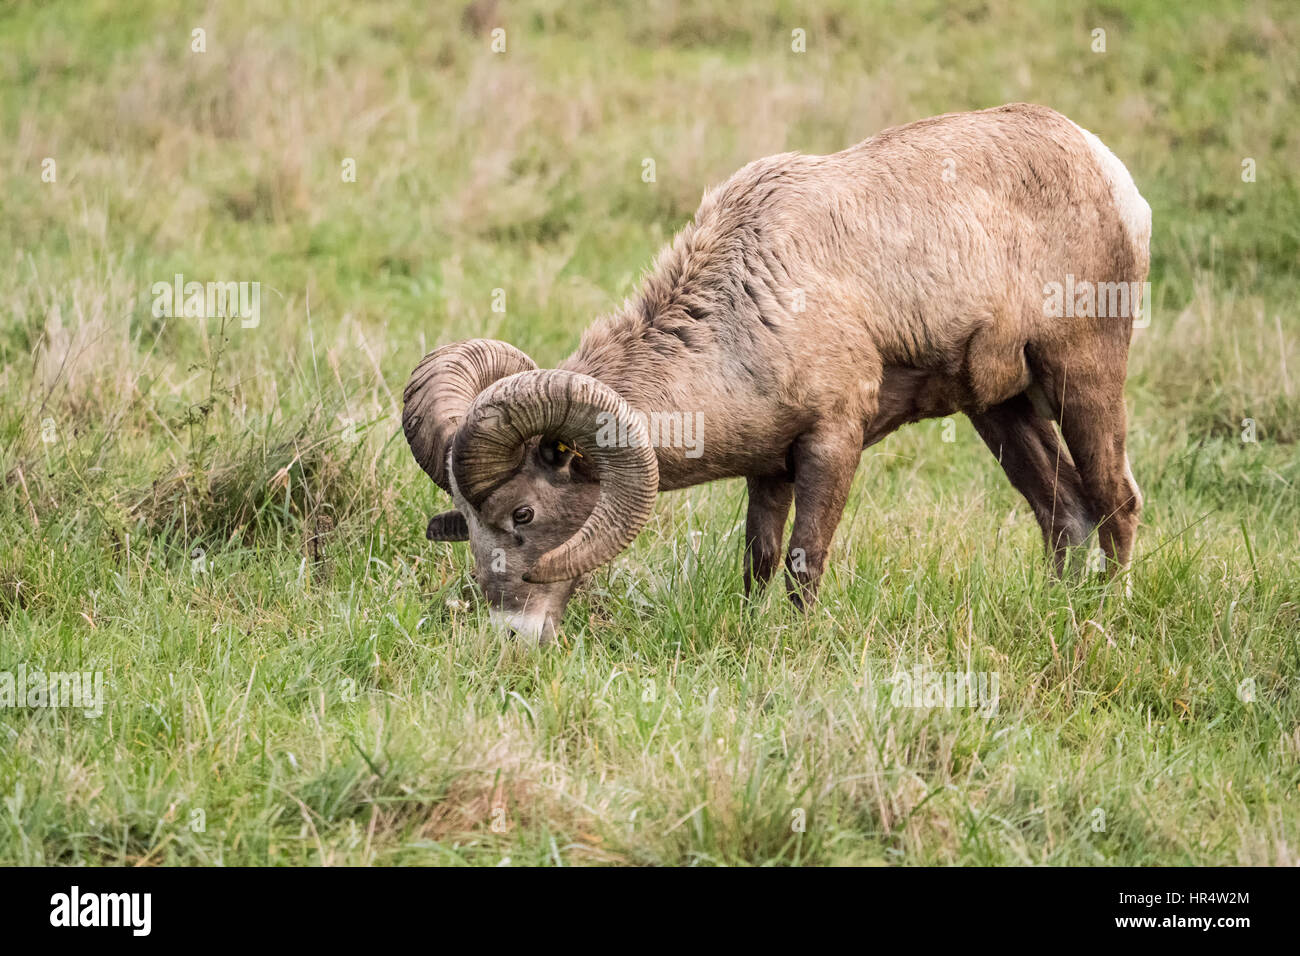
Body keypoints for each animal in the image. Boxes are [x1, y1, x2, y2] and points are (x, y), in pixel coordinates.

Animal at [403, 102, 1149, 642]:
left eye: (523, 512)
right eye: (466, 525)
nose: (511, 635)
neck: (744, 310)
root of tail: (1111, 172)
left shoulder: (832, 444)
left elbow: (803, 562)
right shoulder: (769, 471)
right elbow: (758, 565)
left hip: (1083, 378)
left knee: (1116, 501)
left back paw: (1108, 615)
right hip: (1001, 409)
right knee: (1064, 514)